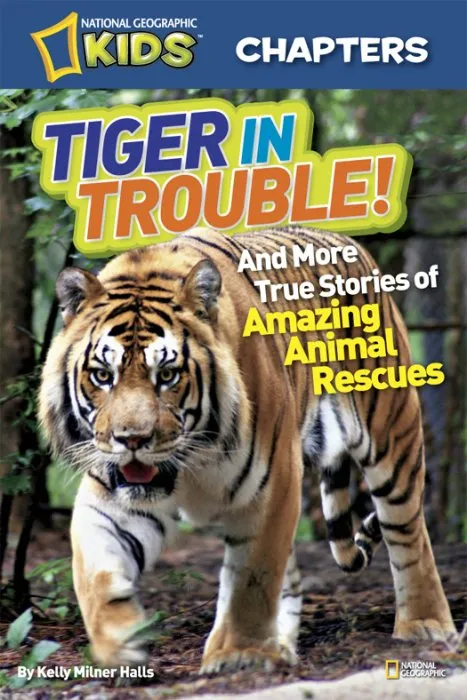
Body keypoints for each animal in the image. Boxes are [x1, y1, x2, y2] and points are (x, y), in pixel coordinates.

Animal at [39, 226, 455, 672]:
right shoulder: (110, 496)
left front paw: (239, 653)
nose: (132, 440)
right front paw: (120, 641)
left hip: (392, 431)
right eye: (103, 375)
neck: (190, 464)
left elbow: (252, 578)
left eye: (167, 375)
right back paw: (283, 646)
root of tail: (349, 242)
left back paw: (425, 625)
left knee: (408, 532)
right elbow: (95, 573)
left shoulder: (273, 485)